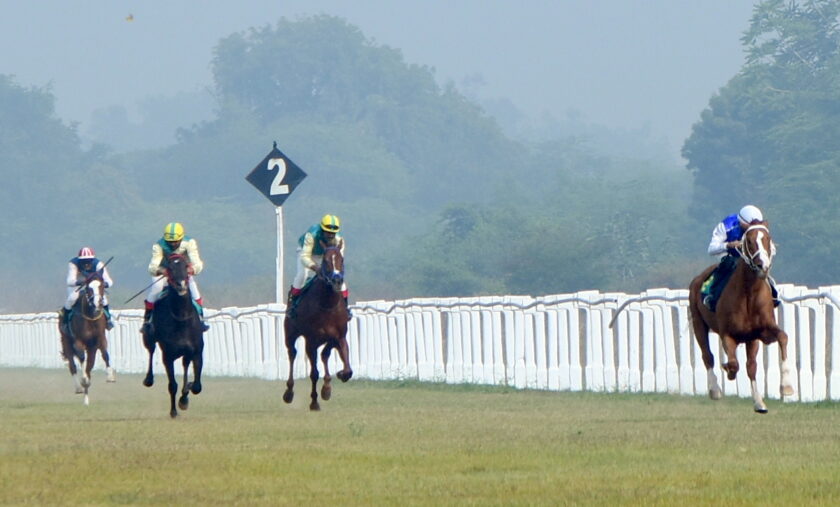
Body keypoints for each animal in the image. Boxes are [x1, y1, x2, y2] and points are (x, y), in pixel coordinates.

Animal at [141, 253, 205, 418]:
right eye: (169, 268)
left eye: (186, 266)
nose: (181, 284)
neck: (181, 320)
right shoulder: (168, 355)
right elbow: (172, 385)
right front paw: (174, 411)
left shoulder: (197, 352)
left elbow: (197, 386)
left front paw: (185, 396)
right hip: (149, 339)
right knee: (151, 351)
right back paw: (148, 379)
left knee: (185, 365)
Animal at [283, 245, 353, 411]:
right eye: (326, 261)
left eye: (341, 259)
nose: (337, 280)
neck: (327, 305)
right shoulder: (311, 340)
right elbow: (314, 373)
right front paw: (314, 402)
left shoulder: (339, 337)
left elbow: (347, 369)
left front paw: (337, 378)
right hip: (290, 334)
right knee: (292, 354)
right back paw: (289, 392)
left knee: (324, 354)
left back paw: (326, 387)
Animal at [688, 220, 794, 413]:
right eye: (749, 241)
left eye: (768, 239)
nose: (762, 266)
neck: (749, 294)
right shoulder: (727, 334)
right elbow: (733, 363)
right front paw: (728, 371)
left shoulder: (760, 333)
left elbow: (781, 338)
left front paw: (785, 387)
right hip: (698, 323)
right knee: (707, 355)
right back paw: (715, 389)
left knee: (748, 365)